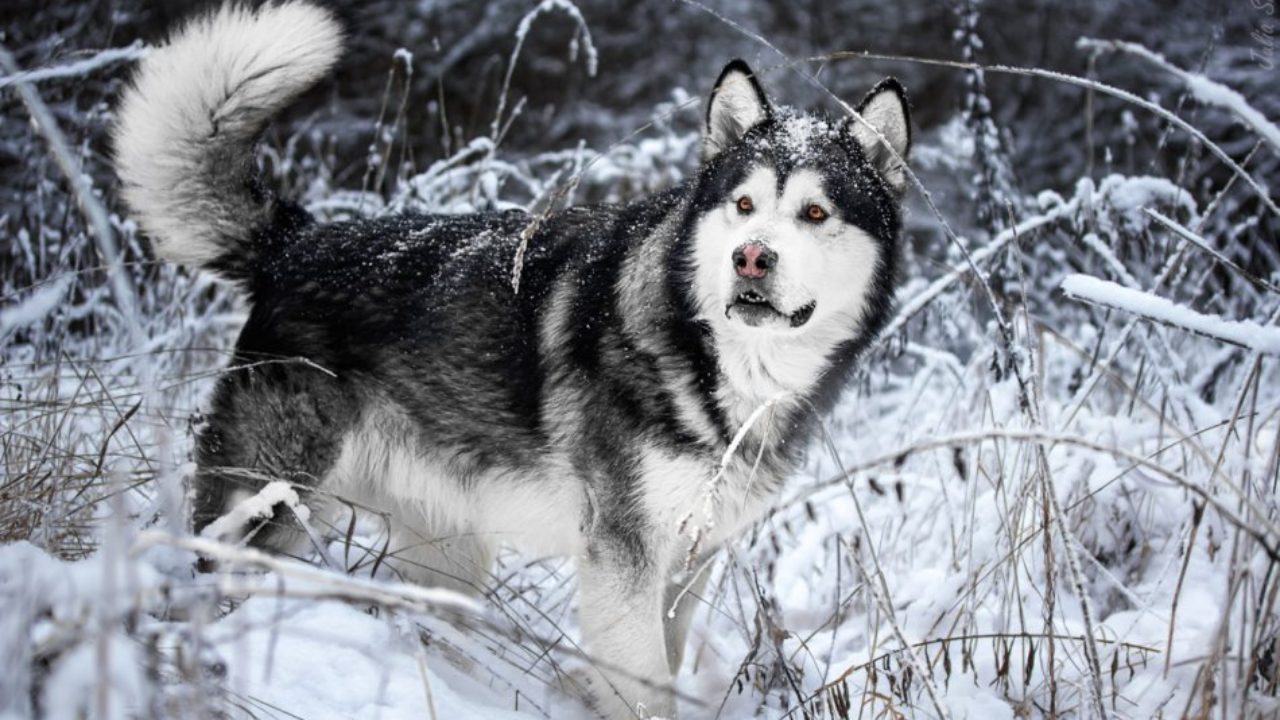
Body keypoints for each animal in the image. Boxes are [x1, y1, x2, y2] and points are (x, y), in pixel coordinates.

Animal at [112, 4, 911, 712]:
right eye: (743, 206)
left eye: (814, 213)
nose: (751, 258)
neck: (723, 367)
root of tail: (296, 244)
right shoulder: (622, 559)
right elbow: (645, 690)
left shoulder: (689, 562)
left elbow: (670, 658)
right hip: (264, 513)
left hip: (446, 557)